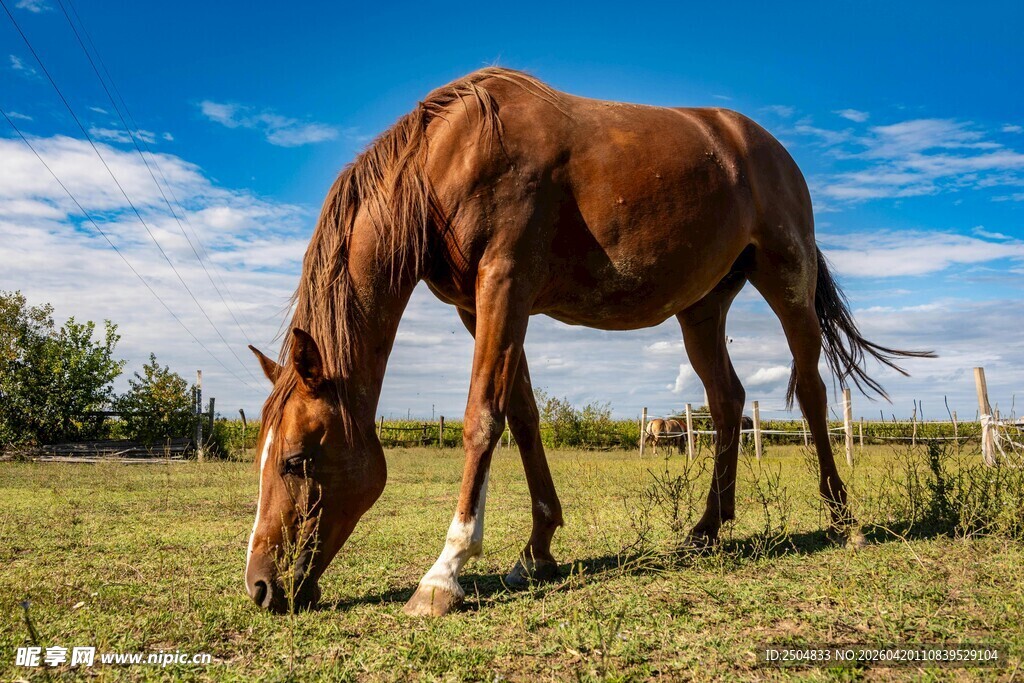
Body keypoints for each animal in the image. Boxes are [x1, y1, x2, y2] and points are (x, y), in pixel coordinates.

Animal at [244, 68, 931, 616]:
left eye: (297, 459)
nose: (259, 587)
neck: (448, 158)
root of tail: (765, 146)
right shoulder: (480, 306)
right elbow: (522, 417)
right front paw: (537, 551)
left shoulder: (504, 284)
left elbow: (481, 417)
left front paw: (445, 574)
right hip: (702, 307)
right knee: (727, 400)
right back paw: (708, 529)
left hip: (787, 278)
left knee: (811, 389)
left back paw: (844, 521)